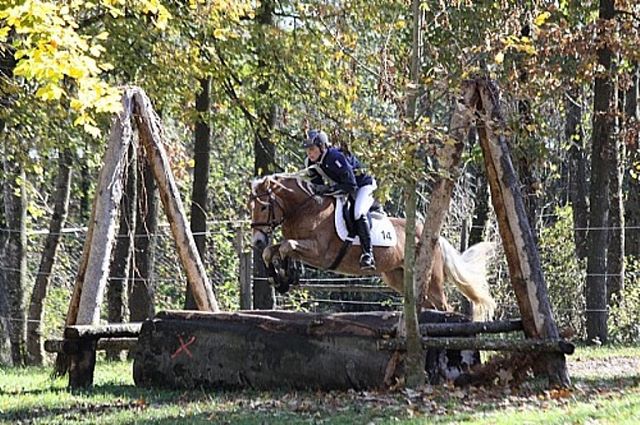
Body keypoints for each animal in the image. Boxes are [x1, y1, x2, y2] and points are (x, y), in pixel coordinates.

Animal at [249, 173, 496, 321]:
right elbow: (272, 251)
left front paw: (286, 277)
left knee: (445, 307)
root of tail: (434, 238)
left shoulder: (319, 252)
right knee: (426, 305)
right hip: (398, 276)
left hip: (432, 279)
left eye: (263, 207)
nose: (257, 241)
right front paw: (280, 278)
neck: (305, 207)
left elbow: (286, 247)